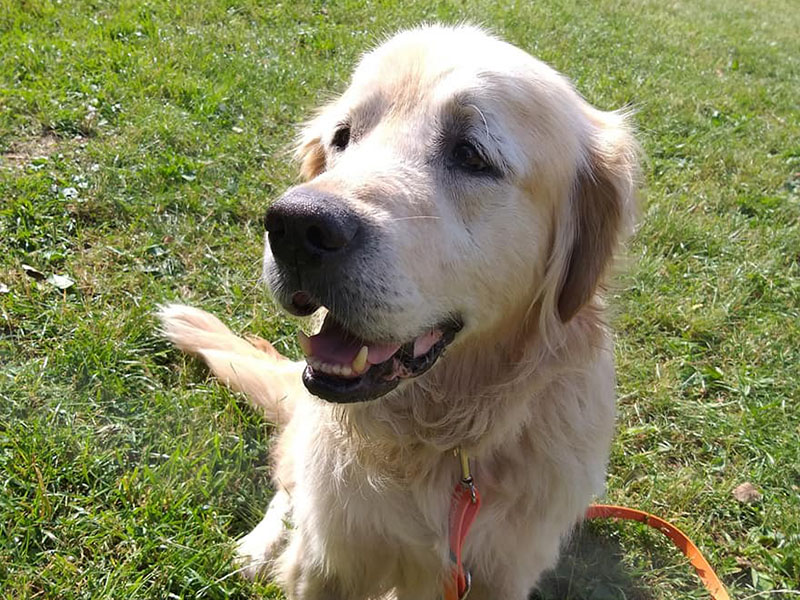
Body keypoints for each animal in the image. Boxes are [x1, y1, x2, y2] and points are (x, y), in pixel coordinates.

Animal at [159, 24, 640, 600]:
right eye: (342, 137)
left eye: (471, 154)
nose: (294, 225)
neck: (444, 443)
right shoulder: (327, 562)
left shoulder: (501, 574)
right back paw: (257, 548)